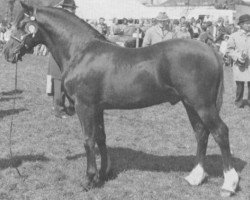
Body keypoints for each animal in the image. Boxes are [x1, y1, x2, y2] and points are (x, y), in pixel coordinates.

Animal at [3, 1, 238, 197]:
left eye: (22, 25)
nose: (7, 53)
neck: (81, 51)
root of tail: (211, 50)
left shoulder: (84, 106)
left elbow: (88, 140)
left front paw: (89, 180)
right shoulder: (97, 107)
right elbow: (101, 137)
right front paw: (104, 174)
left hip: (202, 105)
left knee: (220, 132)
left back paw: (229, 184)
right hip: (190, 104)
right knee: (201, 133)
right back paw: (195, 177)